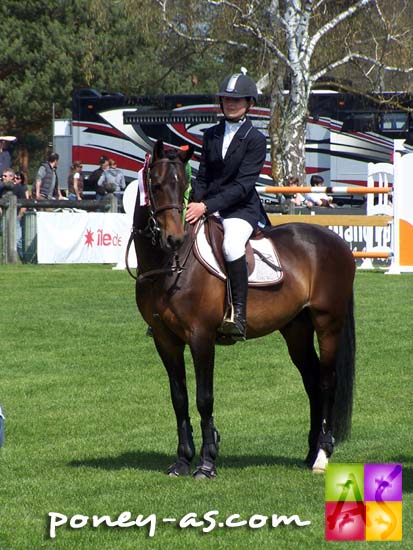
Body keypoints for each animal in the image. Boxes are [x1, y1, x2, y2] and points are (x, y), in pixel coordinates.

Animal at [132, 141, 354, 478]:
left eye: (183, 187)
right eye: (155, 185)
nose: (175, 238)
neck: (169, 264)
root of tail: (336, 241)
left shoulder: (201, 337)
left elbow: (204, 398)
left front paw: (206, 463)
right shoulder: (164, 339)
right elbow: (179, 398)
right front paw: (182, 460)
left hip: (328, 323)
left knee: (328, 381)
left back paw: (321, 456)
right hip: (297, 329)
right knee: (312, 381)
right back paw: (309, 452)